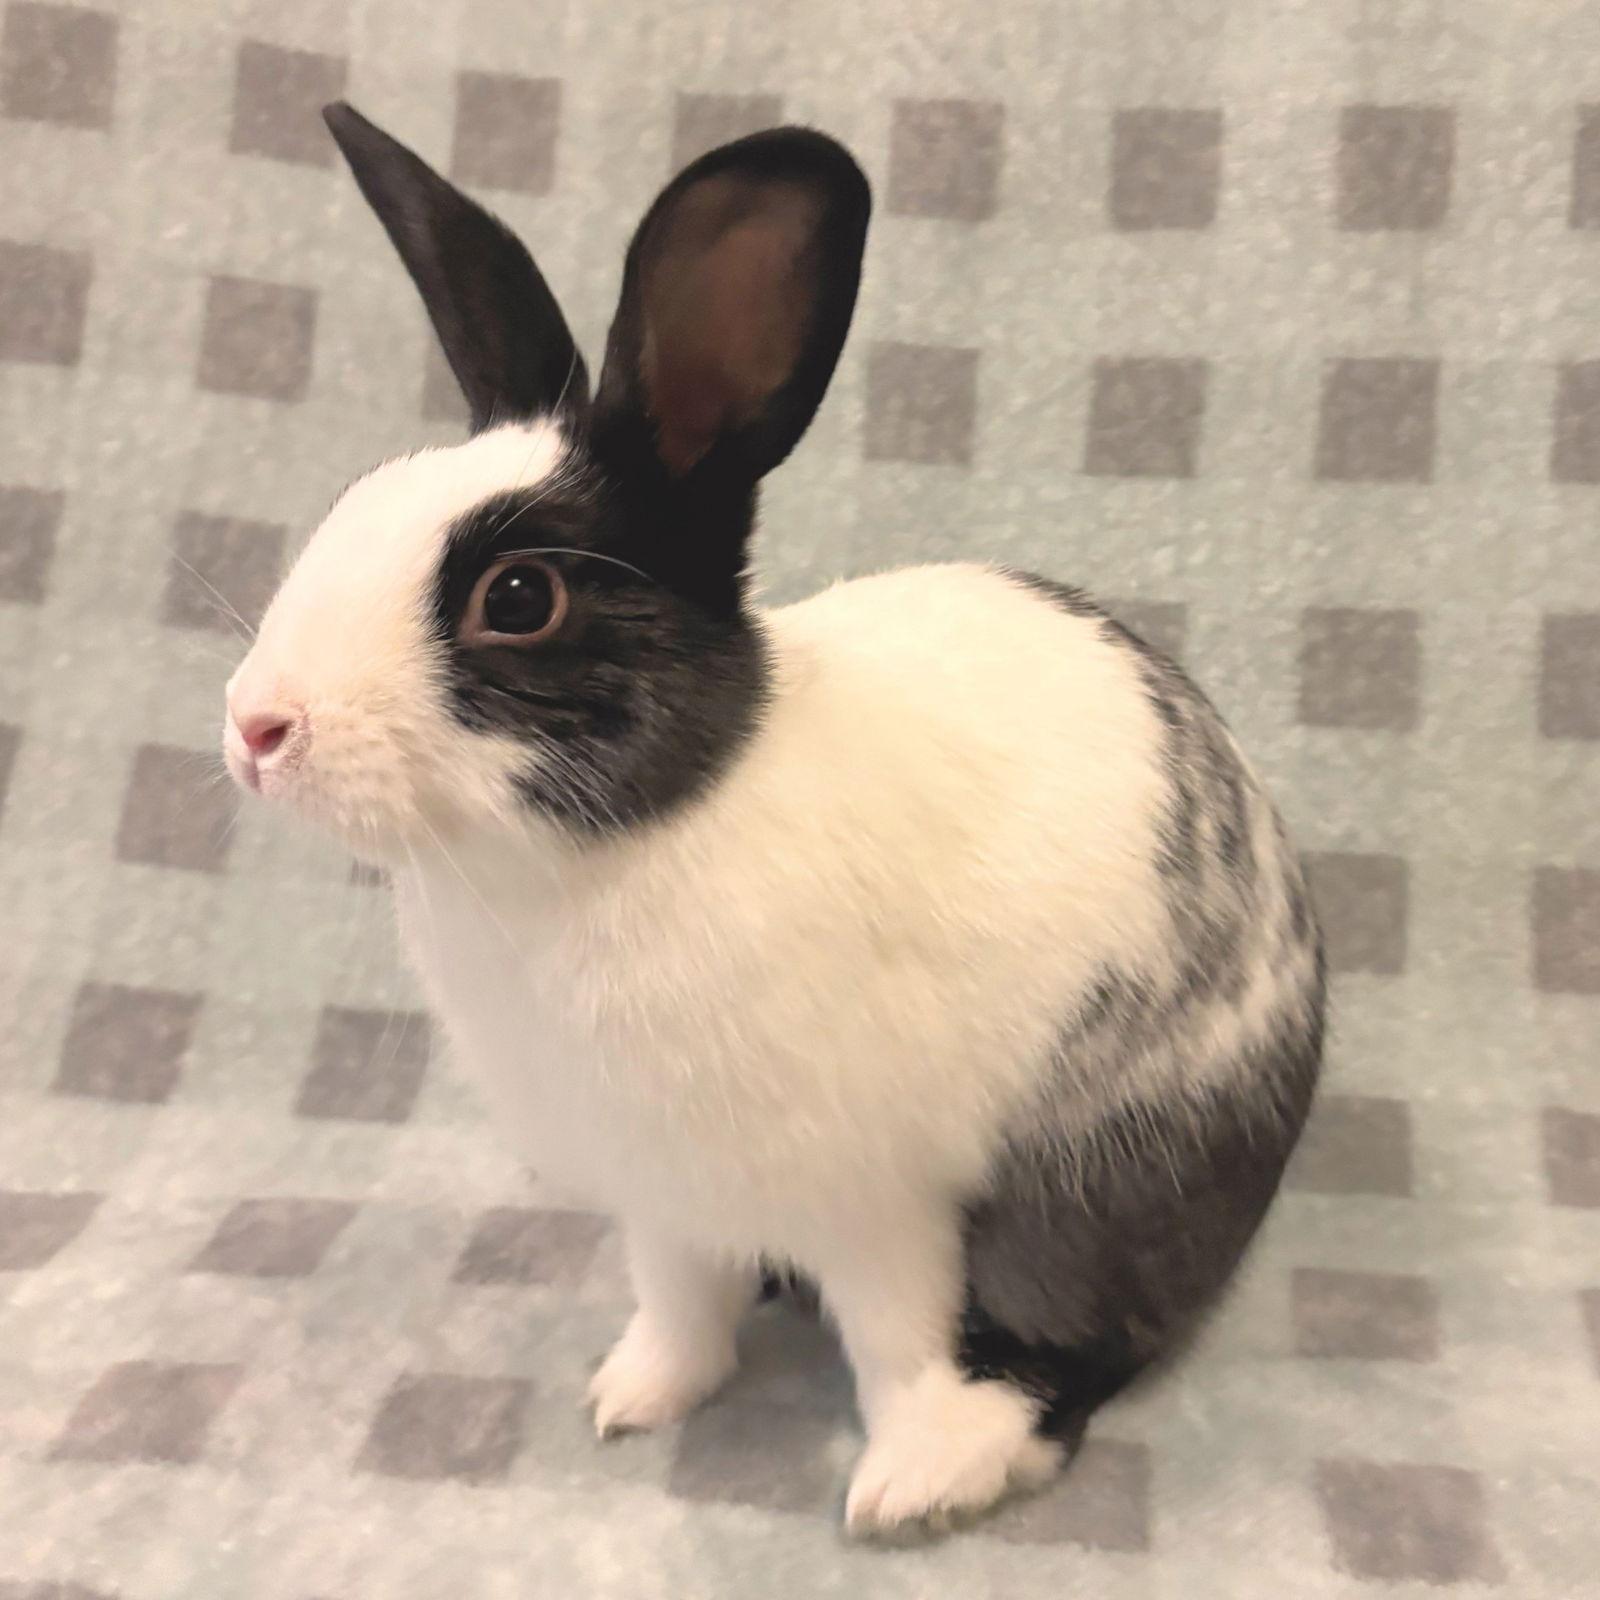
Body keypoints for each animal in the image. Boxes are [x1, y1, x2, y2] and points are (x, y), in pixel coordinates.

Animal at [222, 102, 1325, 1537]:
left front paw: (902, 1482)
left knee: (1077, 1335)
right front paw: (633, 1400)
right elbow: (681, 1306)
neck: (599, 860)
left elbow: (899, 1340)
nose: (255, 727)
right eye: (356, 501)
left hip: (1100, 1183)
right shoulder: (667, 1202)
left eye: (518, 597)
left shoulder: (880, 1209)